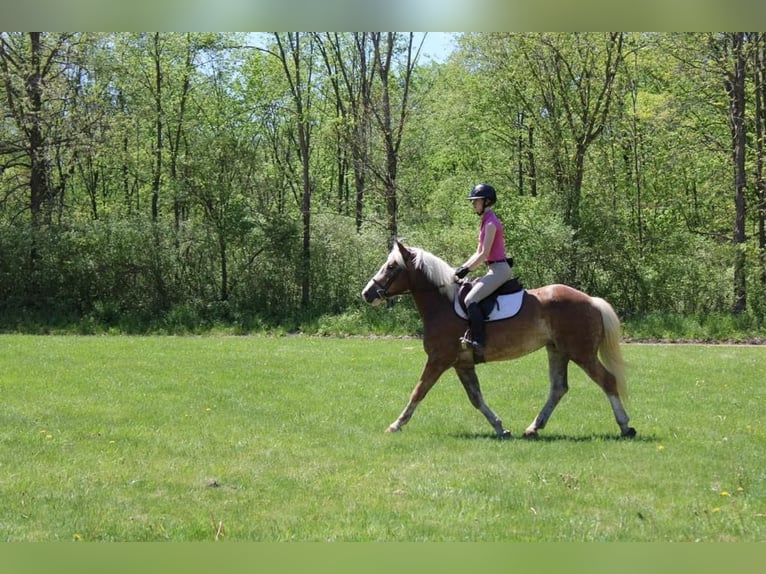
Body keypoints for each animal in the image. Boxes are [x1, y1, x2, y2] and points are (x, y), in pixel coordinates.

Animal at [364, 240, 640, 440]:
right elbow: (476, 398)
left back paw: (625, 427)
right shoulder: (462, 363)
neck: (442, 303)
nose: (367, 293)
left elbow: (418, 391)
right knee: (558, 388)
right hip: (557, 350)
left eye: (391, 266)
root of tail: (591, 300)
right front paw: (500, 427)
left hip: (581, 352)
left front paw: (396, 424)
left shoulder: (438, 359)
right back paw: (532, 428)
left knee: (607, 381)